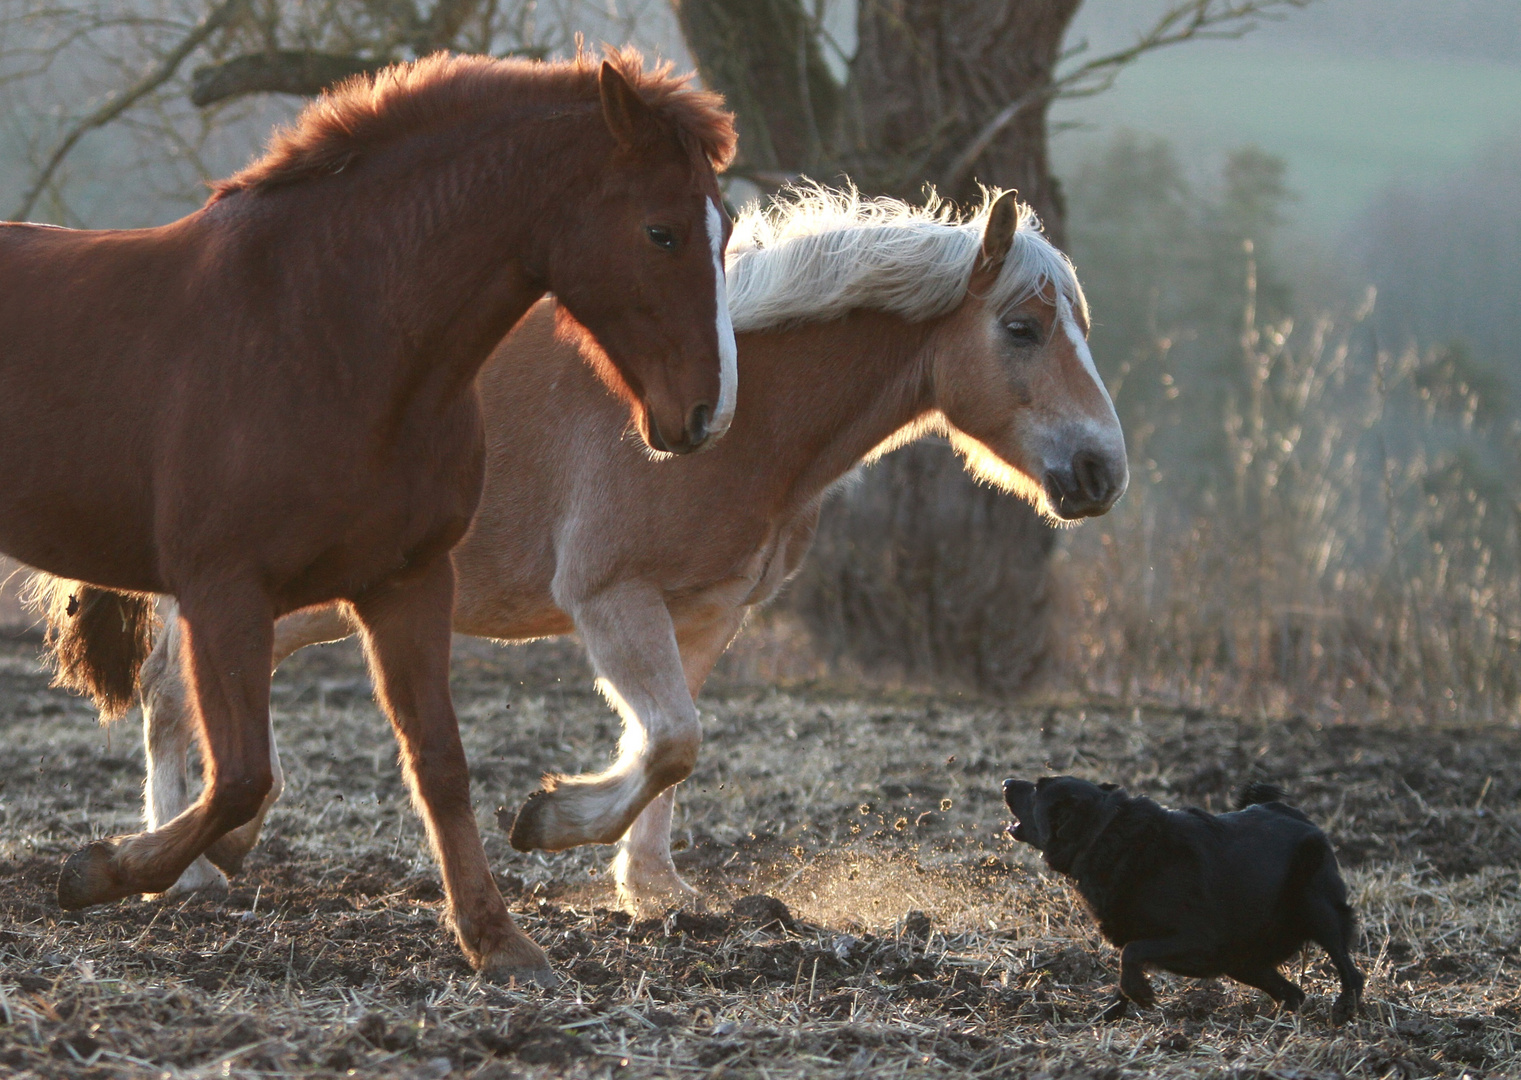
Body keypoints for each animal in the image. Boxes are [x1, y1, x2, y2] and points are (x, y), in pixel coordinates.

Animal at [0, 48, 736, 979]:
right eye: (660, 232)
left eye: (726, 226)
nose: (707, 414)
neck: (330, 333)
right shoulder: (222, 593)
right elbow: (241, 775)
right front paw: (101, 871)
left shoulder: (407, 583)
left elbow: (440, 763)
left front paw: (497, 939)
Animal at [133, 188, 1131, 924]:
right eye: (1021, 329)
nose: (1100, 471)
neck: (738, 416)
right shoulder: (612, 601)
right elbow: (672, 738)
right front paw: (549, 821)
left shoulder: (707, 613)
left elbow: (671, 745)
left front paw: (652, 888)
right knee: (173, 688)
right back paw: (184, 869)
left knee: (183, 686)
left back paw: (212, 848)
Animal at [997, 778, 1368, 1022]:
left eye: (1038, 789)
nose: (1005, 782)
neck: (1103, 834)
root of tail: (1294, 813)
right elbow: (1125, 968)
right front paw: (1109, 1015)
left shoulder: (1200, 939)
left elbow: (1131, 954)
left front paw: (1142, 995)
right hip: (1243, 960)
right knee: (1294, 993)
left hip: (1318, 909)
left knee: (1350, 971)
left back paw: (1343, 1011)